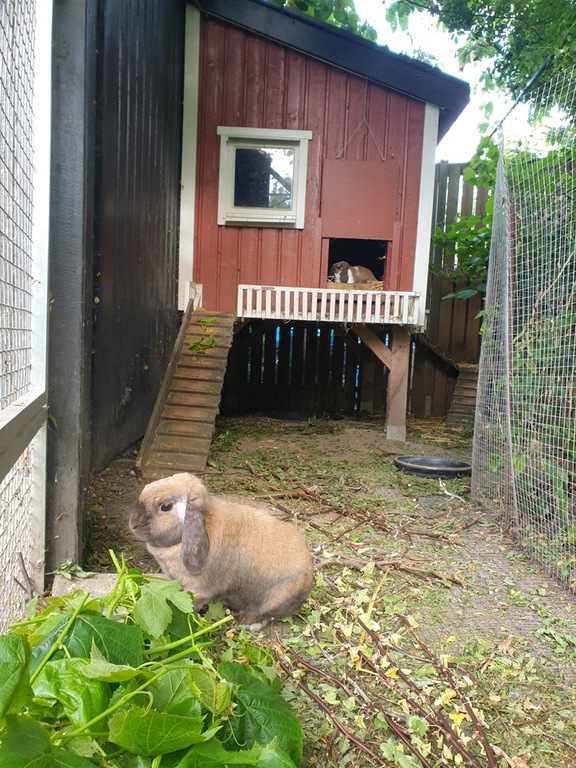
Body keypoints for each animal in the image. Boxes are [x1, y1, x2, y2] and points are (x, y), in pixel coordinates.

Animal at [129, 472, 314, 630]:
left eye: (166, 506)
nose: (133, 524)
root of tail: (308, 579)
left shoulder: (198, 590)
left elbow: (192, 604)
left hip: (273, 601)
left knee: (266, 615)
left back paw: (247, 623)